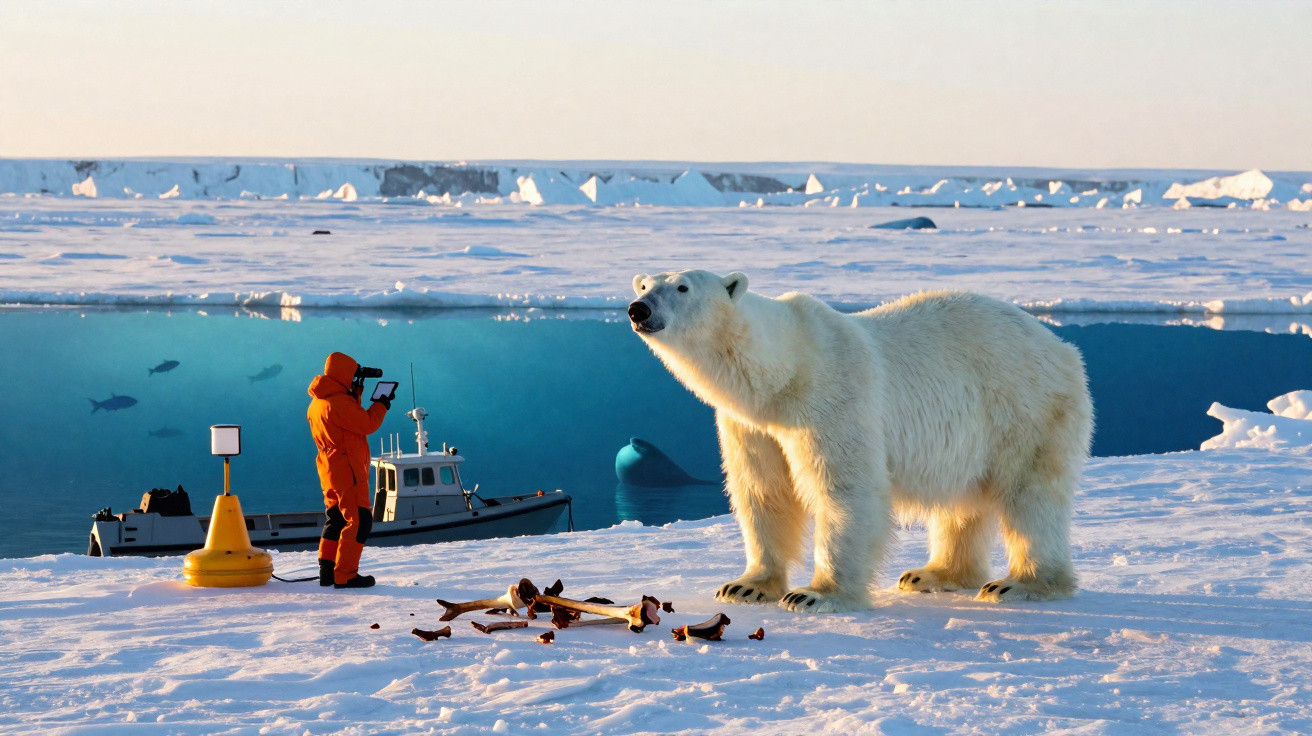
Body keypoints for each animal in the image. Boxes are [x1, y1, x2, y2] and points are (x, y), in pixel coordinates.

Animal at [627, 269, 1093, 613]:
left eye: (682, 287)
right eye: (646, 285)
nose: (638, 309)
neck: (783, 372)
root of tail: (1062, 346)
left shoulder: (833, 399)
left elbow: (844, 490)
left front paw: (814, 594)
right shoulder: (752, 426)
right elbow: (764, 491)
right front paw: (745, 586)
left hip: (1024, 405)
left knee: (1030, 495)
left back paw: (1020, 584)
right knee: (961, 502)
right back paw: (933, 573)